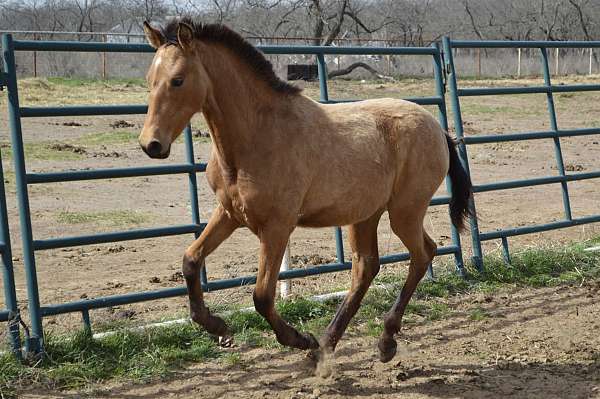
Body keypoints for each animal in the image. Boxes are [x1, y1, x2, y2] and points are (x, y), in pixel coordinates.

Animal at [138, 18, 472, 376]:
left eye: (178, 80)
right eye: (150, 80)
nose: (151, 144)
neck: (257, 136)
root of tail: (438, 128)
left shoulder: (277, 227)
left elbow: (262, 296)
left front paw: (299, 339)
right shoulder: (229, 214)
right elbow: (190, 261)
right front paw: (220, 329)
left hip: (405, 212)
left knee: (423, 254)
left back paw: (382, 342)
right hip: (365, 214)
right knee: (366, 267)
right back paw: (325, 347)